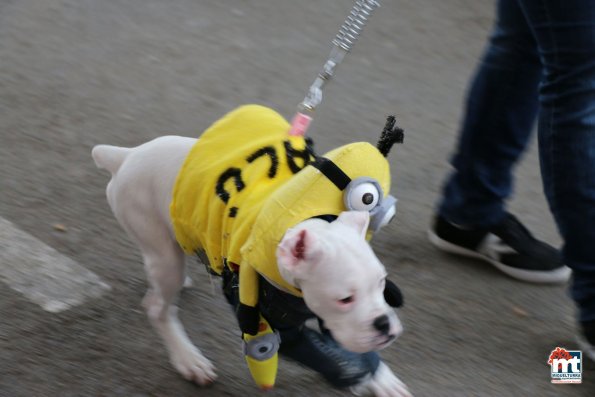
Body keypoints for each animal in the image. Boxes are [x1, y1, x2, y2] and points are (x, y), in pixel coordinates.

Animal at [92, 103, 410, 394]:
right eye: (344, 299)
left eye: (381, 284)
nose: (383, 324)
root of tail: (126, 156)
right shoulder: (283, 332)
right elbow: (334, 359)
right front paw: (362, 376)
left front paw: (381, 378)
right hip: (160, 250)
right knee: (157, 307)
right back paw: (188, 359)